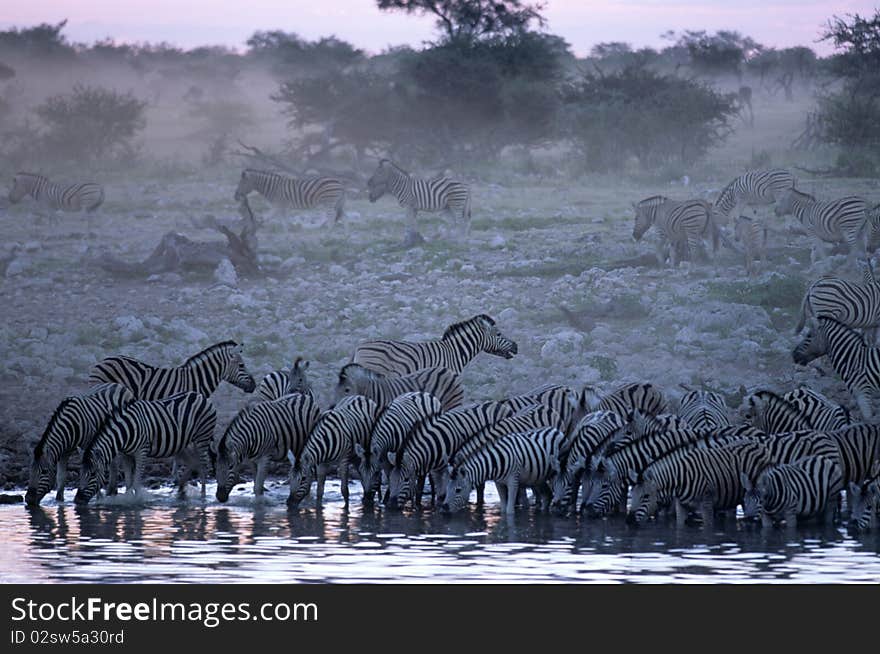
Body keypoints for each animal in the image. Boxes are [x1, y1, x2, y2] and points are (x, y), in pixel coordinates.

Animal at [75, 392, 217, 504]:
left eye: (93, 474)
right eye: (80, 473)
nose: (77, 500)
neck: (125, 432)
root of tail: (200, 395)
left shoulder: (141, 452)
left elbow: (136, 482)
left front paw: (137, 501)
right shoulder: (126, 455)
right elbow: (128, 482)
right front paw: (128, 500)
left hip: (202, 438)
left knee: (203, 465)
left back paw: (203, 497)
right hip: (183, 443)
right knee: (193, 462)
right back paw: (181, 489)